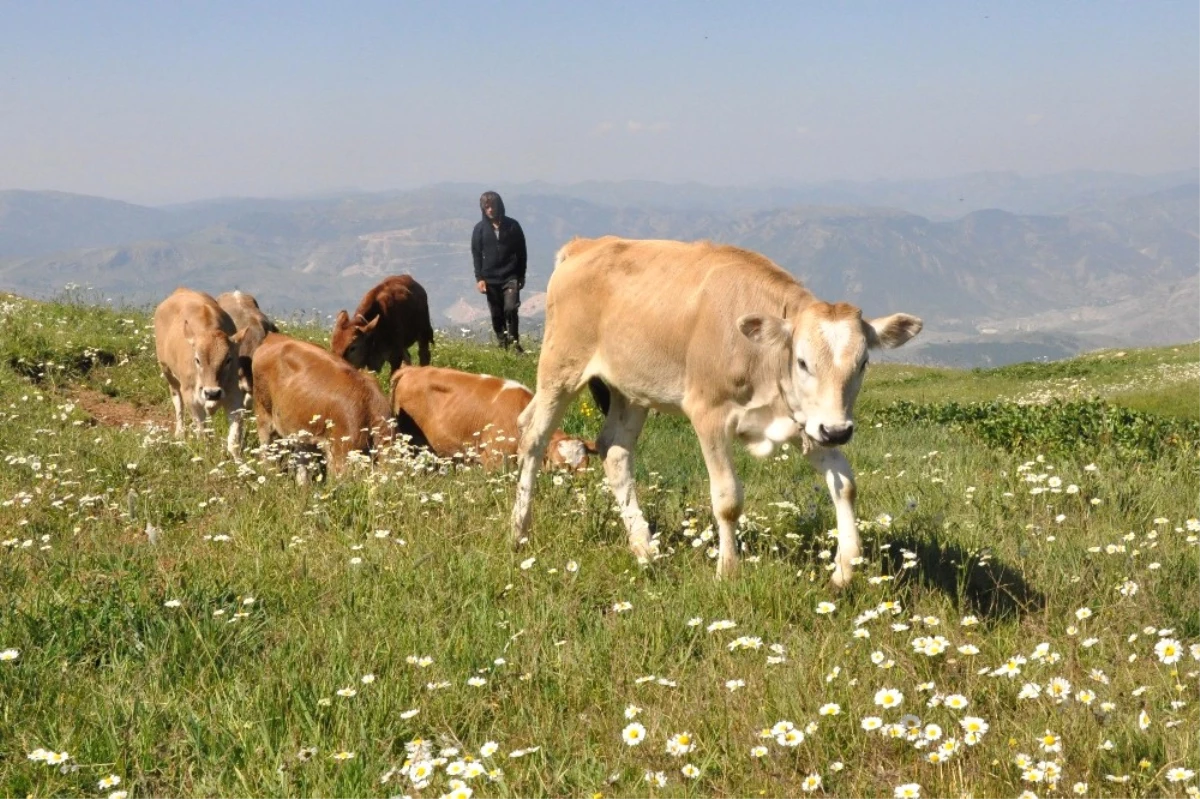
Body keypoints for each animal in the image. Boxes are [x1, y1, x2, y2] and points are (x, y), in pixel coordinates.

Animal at [152, 287, 246, 458]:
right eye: (197, 360)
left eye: (228, 359)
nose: (212, 393)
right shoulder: (191, 398)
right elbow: (204, 435)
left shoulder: (235, 395)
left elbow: (234, 439)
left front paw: (239, 462)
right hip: (167, 371)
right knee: (177, 401)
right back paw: (179, 433)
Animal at [511, 236, 921, 585]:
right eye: (803, 362)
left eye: (863, 363)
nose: (839, 431)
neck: (763, 358)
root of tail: (585, 244)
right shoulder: (709, 414)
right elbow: (727, 499)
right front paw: (728, 570)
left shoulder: (809, 420)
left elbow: (846, 485)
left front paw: (845, 568)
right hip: (561, 368)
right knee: (532, 436)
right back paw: (519, 530)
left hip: (631, 390)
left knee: (614, 452)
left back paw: (644, 546)